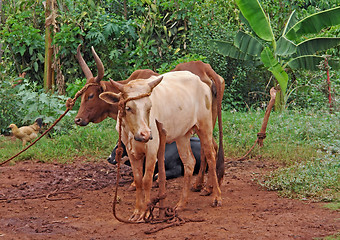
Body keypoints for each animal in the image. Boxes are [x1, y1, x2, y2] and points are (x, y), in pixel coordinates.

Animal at [99, 71, 222, 221]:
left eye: (149, 107)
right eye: (128, 108)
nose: (145, 134)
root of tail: (200, 81)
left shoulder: (152, 149)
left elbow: (147, 180)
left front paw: (145, 212)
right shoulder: (130, 151)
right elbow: (138, 180)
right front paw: (137, 211)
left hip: (205, 126)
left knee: (211, 156)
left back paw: (216, 197)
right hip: (182, 135)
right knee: (189, 162)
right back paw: (181, 204)